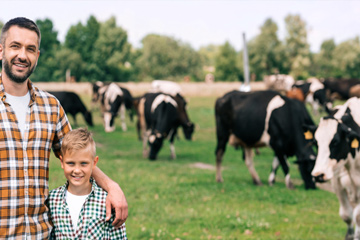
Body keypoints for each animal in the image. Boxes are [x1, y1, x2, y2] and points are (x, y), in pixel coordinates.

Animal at [306, 98, 360, 240]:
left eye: (335, 142)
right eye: (315, 143)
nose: (318, 175)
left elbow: (358, 216)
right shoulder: (337, 183)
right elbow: (347, 215)